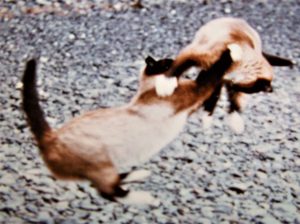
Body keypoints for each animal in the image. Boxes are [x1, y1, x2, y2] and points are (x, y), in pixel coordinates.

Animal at [21, 44, 239, 206]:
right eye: (169, 63)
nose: (178, 64)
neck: (149, 88)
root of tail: (49, 137)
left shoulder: (194, 104)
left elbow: (212, 83)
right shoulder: (198, 89)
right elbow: (214, 71)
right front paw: (231, 51)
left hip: (106, 166)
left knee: (114, 183)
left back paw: (140, 174)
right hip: (101, 165)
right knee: (109, 192)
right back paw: (146, 198)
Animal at [156, 16, 294, 134]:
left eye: (248, 90)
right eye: (252, 90)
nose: (233, 86)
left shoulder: (223, 80)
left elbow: (230, 101)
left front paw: (232, 117)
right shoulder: (196, 55)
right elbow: (178, 67)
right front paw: (166, 84)